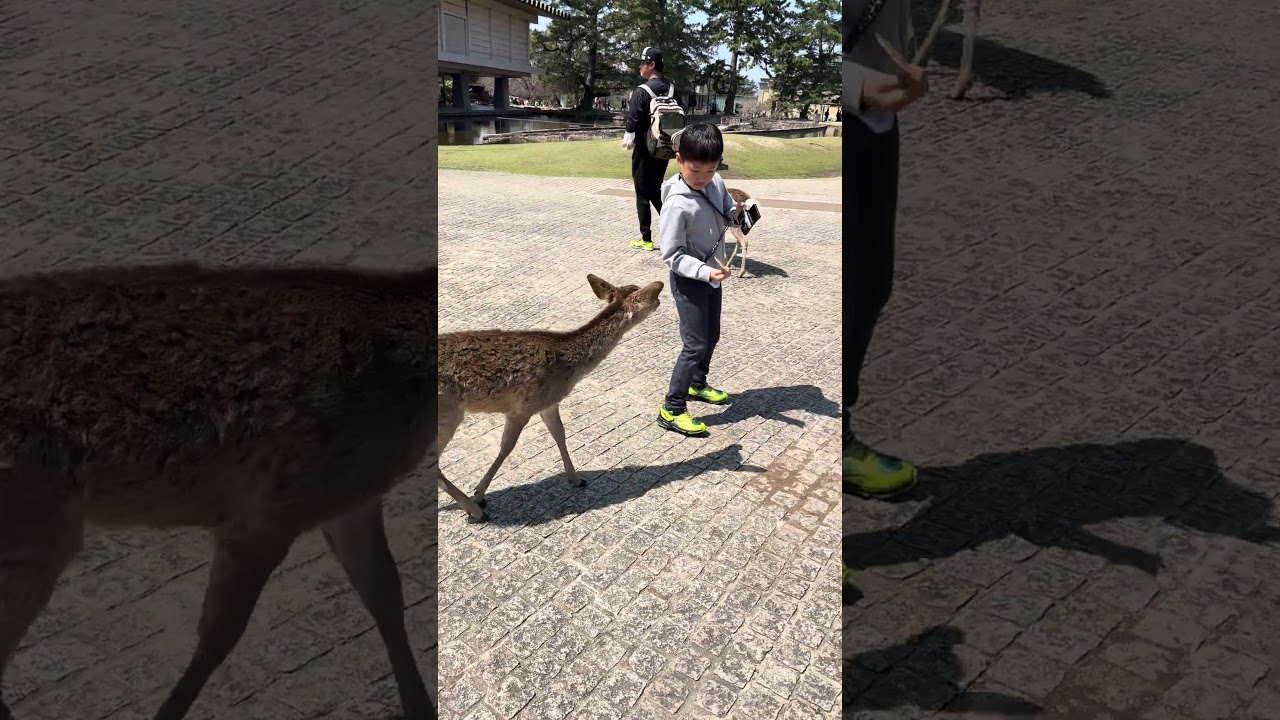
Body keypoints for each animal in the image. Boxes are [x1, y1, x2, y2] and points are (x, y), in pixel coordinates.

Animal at [0, 262, 438, 720]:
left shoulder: (351, 499)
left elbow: (385, 591)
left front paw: (420, 707)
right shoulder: (270, 509)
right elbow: (220, 632)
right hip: (36, 522)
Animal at [436, 274, 664, 523]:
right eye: (648, 295)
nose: (660, 302)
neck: (571, 369)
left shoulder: (550, 402)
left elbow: (559, 434)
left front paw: (576, 479)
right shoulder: (524, 406)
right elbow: (507, 447)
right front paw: (479, 493)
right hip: (447, 412)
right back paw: (476, 511)